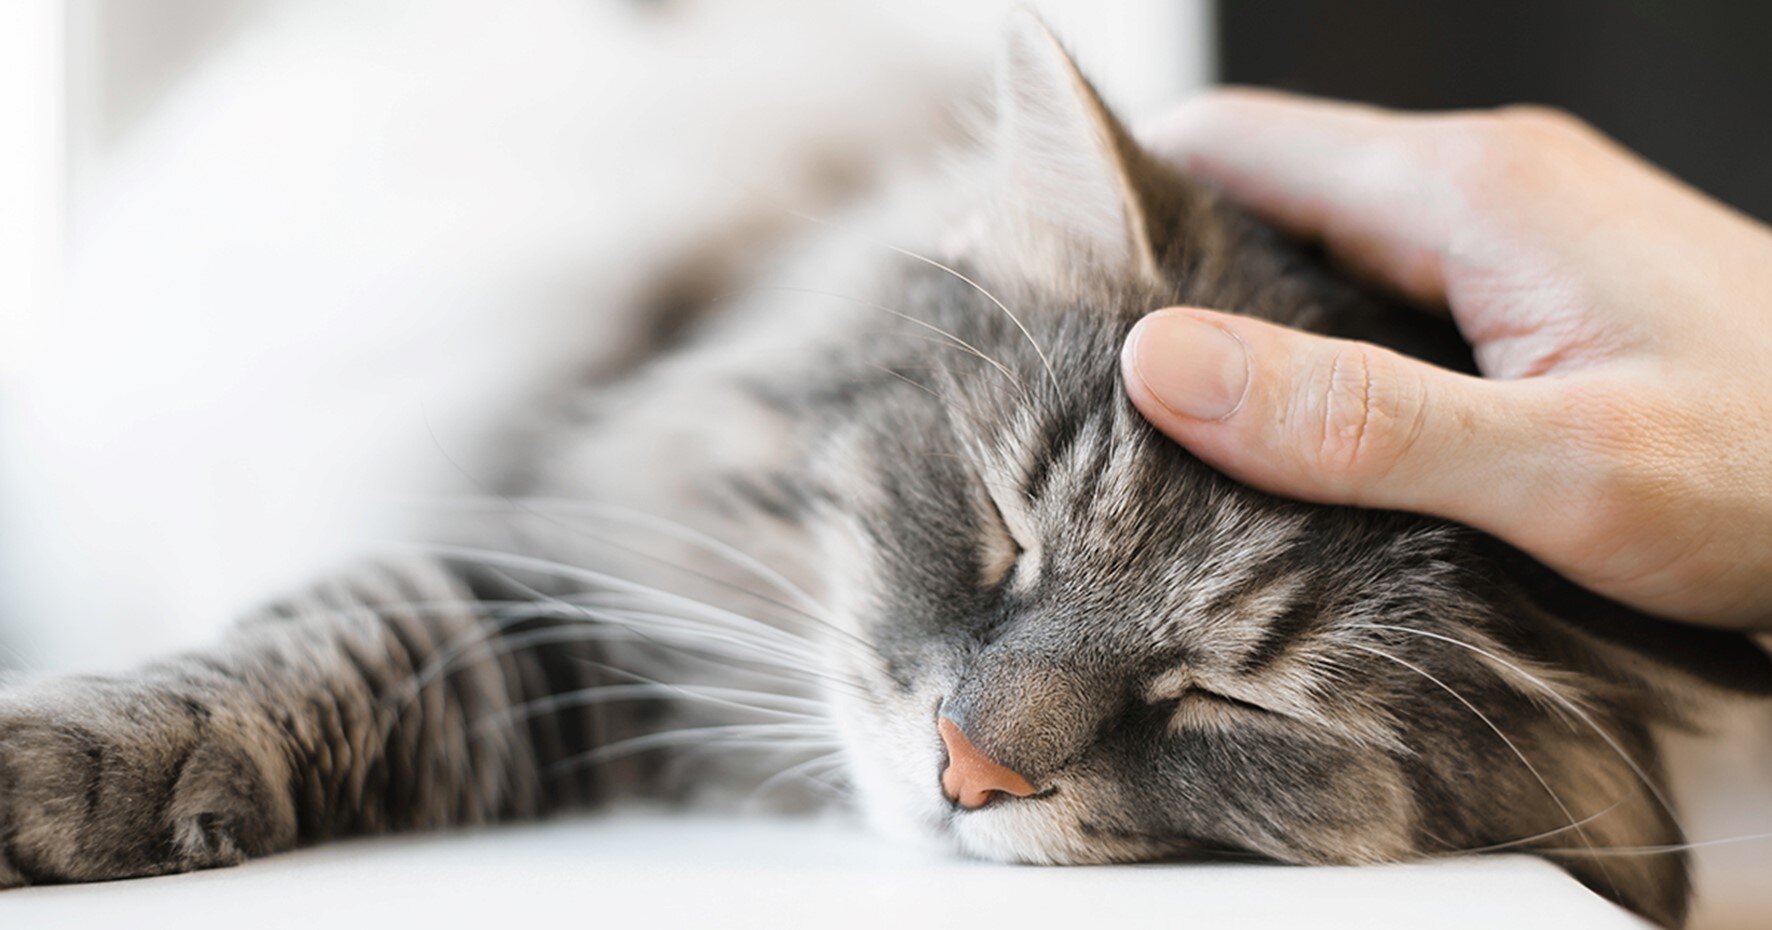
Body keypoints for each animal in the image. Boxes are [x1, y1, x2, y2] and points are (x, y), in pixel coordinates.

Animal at [3, 16, 1772, 928]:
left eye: (1229, 700)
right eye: (1004, 533)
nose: (966, 770)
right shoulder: (561, 577)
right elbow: (300, 654)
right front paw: (66, 763)